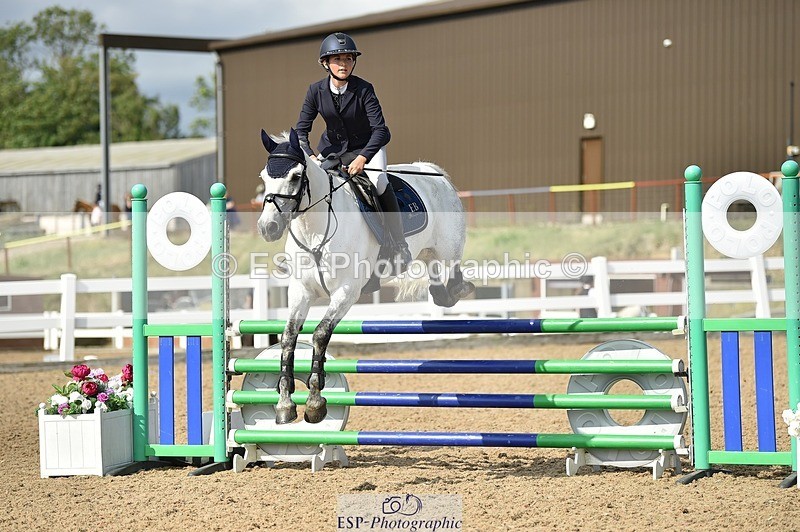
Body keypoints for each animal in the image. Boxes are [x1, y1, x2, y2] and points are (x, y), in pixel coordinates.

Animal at [257, 128, 475, 424]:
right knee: (436, 281)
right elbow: (289, 337)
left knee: (452, 277)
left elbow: (320, 334)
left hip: (448, 249)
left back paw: (461, 289)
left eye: (295, 176)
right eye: (263, 178)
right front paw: (284, 404)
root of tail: (432, 171)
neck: (314, 229)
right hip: (428, 253)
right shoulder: (302, 291)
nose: (268, 228)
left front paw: (315, 402)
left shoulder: (347, 291)